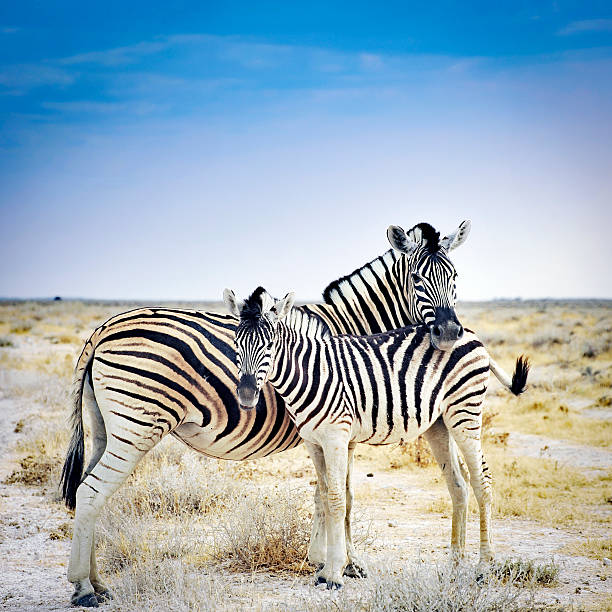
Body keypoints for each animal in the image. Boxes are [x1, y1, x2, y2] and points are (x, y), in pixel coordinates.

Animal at [59, 221, 476, 608]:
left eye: (456, 276)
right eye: (418, 279)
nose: (449, 333)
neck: (351, 333)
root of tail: (104, 327)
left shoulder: (328, 431)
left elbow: (325, 492)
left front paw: (322, 561)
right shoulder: (341, 432)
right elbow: (343, 495)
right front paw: (346, 564)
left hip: (105, 429)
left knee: (85, 490)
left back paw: (97, 583)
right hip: (137, 427)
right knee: (92, 491)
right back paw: (83, 588)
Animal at [226, 286, 532, 588]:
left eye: (269, 345)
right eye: (237, 344)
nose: (246, 395)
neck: (310, 373)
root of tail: (468, 332)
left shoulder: (336, 437)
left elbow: (336, 498)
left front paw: (334, 573)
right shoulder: (313, 442)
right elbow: (325, 495)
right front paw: (330, 568)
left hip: (465, 412)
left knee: (483, 482)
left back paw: (484, 568)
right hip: (439, 423)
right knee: (458, 485)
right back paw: (454, 568)